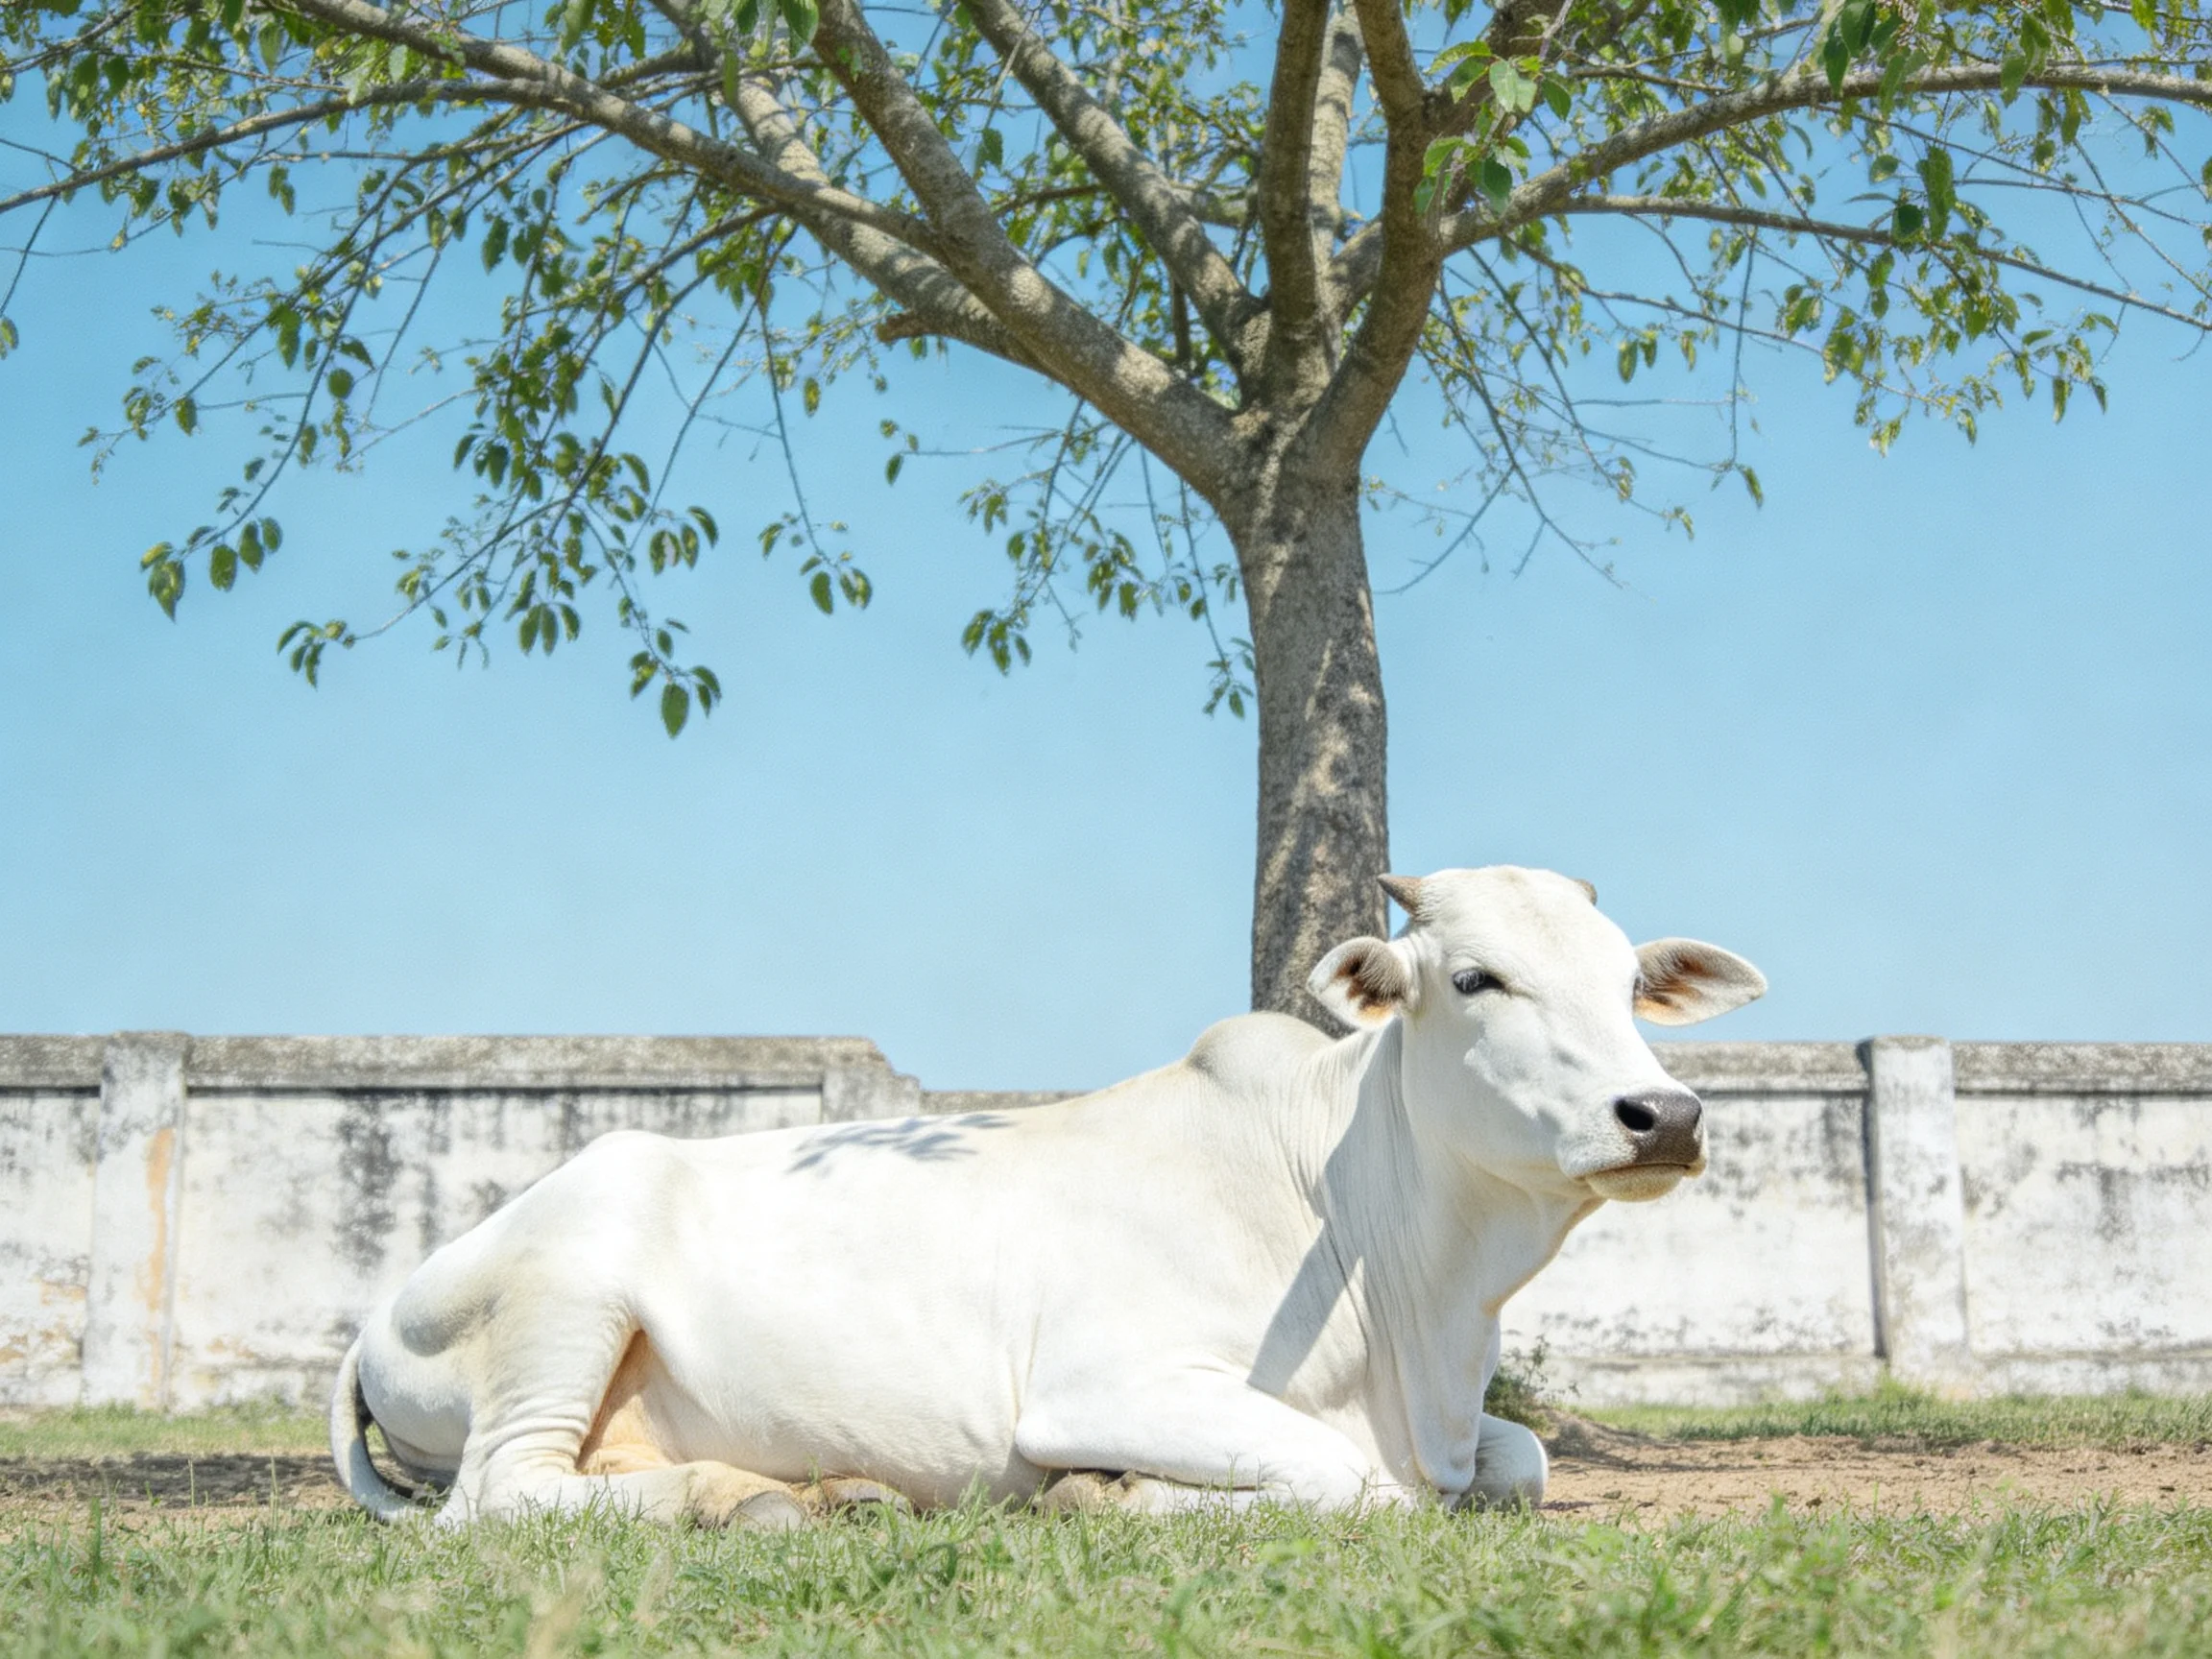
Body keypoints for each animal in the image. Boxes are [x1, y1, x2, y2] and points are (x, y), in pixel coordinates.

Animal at [331, 865, 1764, 1525]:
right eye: (1475, 979)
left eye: (1630, 985)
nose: (1667, 1117)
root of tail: (381, 1311)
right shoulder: (1102, 1387)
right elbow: (1349, 1482)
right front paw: (1107, 1492)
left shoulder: (1477, 1437)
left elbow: (1522, 1463)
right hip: (564, 1305)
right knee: (500, 1494)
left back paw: (796, 1495)